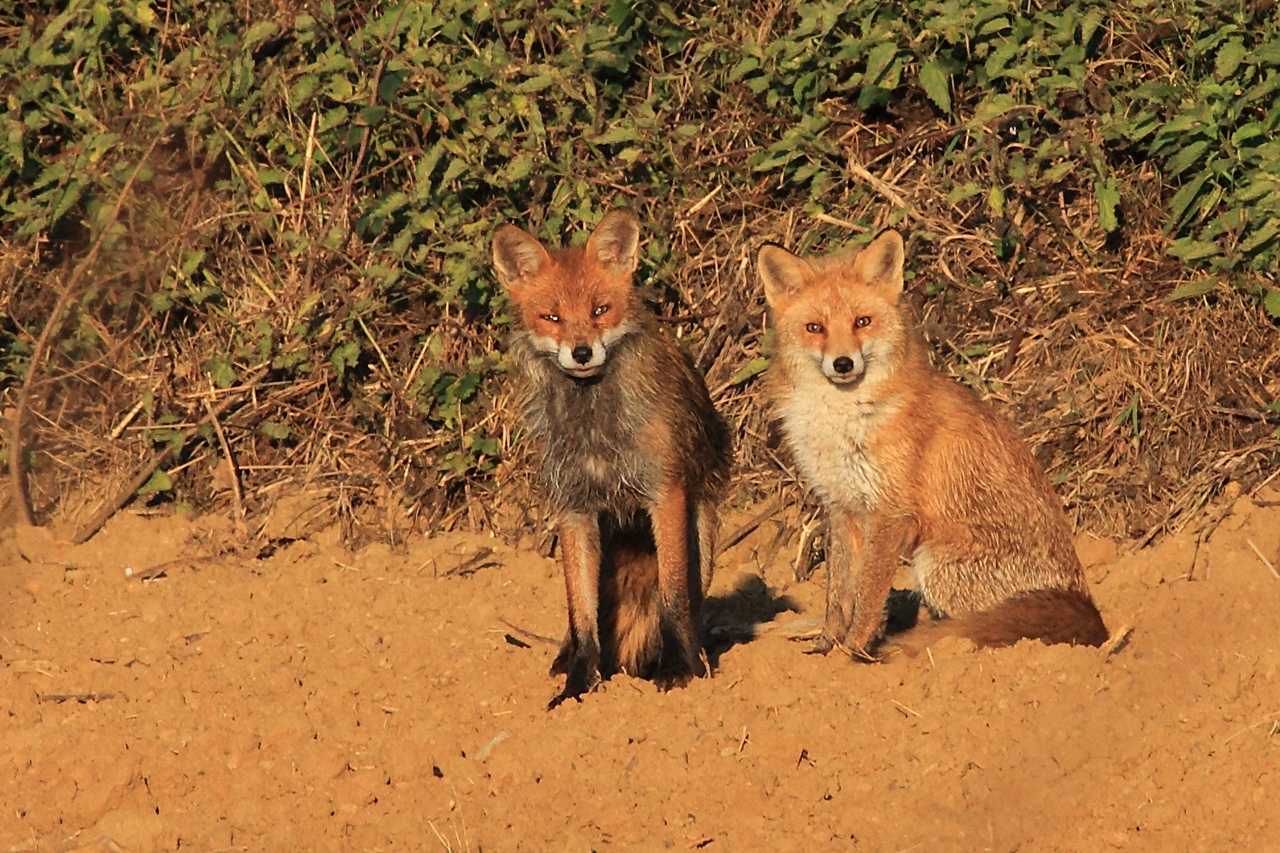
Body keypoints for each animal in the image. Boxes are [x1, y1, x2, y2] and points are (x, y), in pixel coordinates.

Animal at [488, 208, 732, 706]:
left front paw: (679, 670)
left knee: (686, 604)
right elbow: (581, 615)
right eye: (552, 317)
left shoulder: (665, 492)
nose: (582, 352)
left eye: (600, 310)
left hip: (705, 537)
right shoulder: (573, 507)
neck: (595, 429)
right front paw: (578, 684)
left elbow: (673, 599)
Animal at [752, 227, 1105, 655]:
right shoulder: (842, 505)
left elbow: (867, 596)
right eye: (815, 328)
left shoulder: (890, 512)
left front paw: (853, 653)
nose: (843, 363)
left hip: (933, 566)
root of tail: (1089, 611)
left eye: (862, 322)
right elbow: (839, 593)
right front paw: (827, 646)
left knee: (976, 625)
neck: (842, 419)